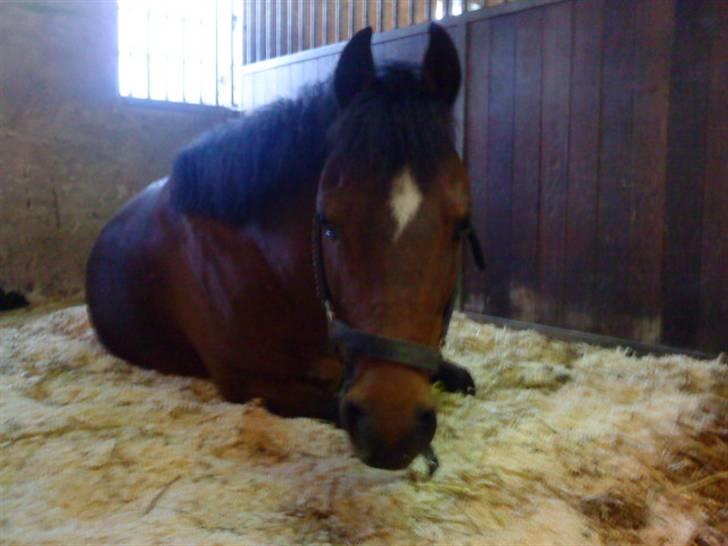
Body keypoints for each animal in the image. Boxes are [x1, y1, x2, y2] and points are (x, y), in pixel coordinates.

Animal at [86, 23, 484, 471]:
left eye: (462, 224)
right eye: (327, 222)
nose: (391, 427)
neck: (272, 272)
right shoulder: (248, 382)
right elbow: (331, 403)